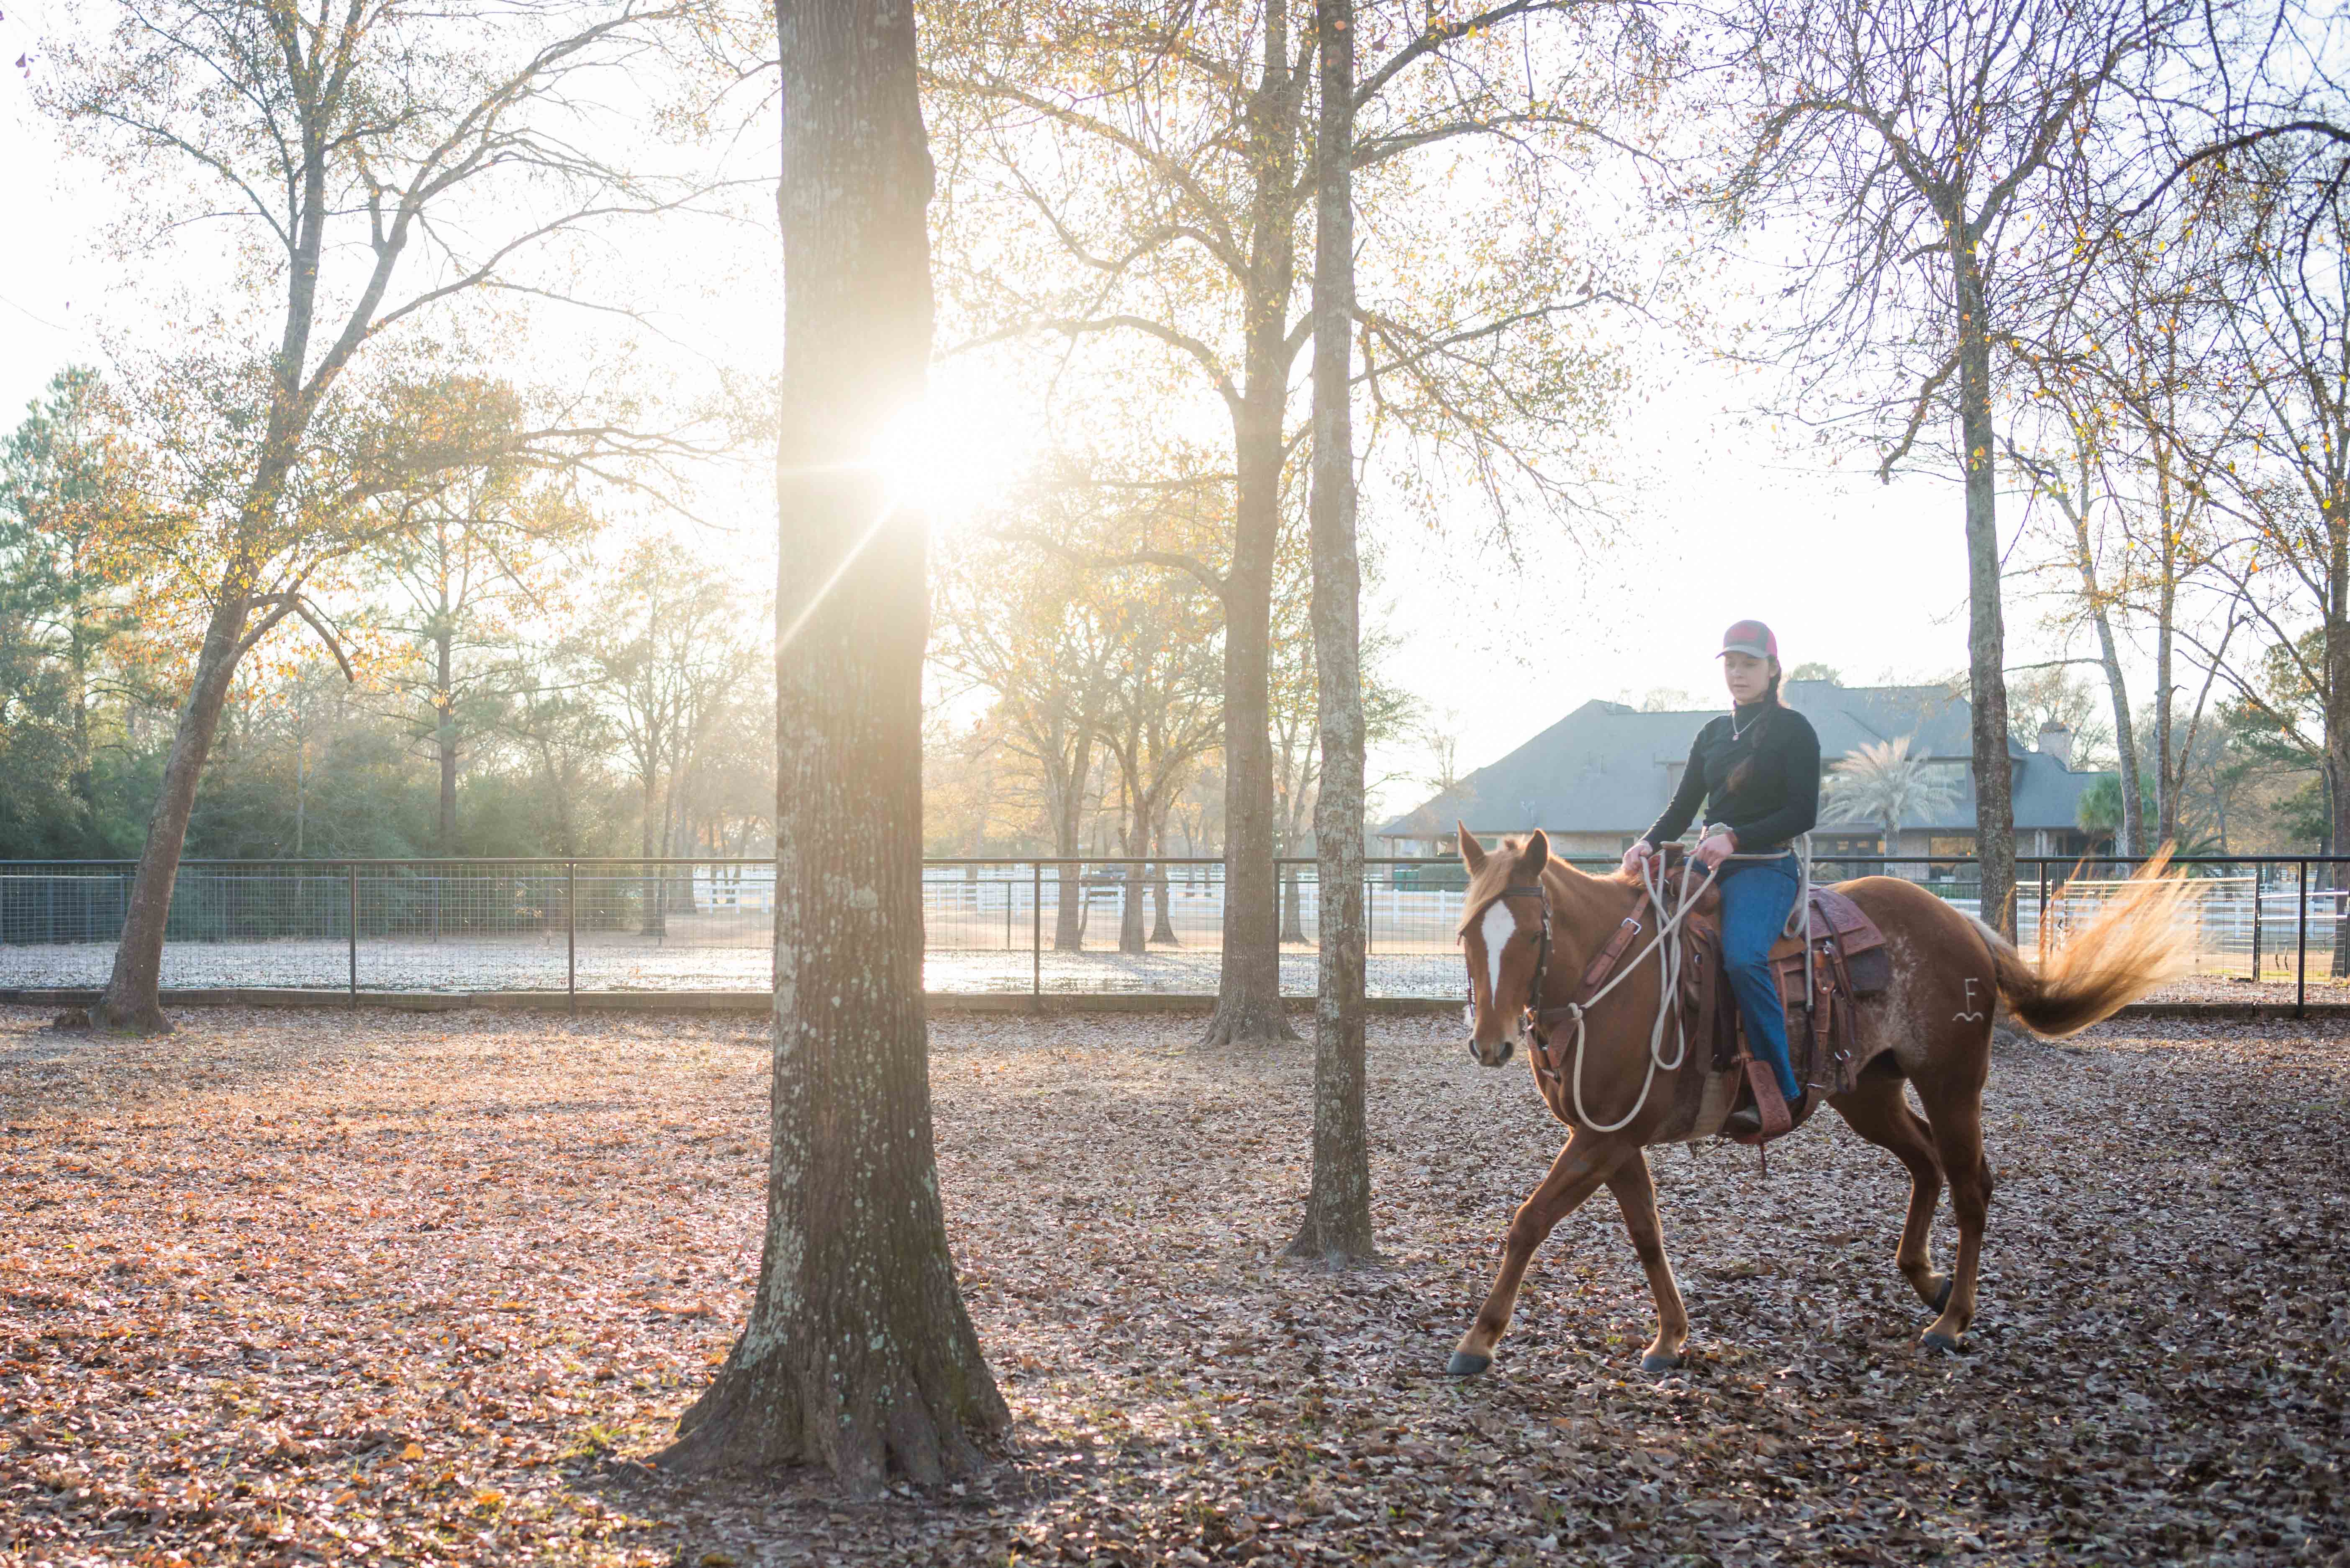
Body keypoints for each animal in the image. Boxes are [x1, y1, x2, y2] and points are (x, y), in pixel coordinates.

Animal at [1438, 827, 2190, 1382]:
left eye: (1531, 934)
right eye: (1468, 934)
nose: (1489, 1044)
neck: (1612, 974)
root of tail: (1963, 923)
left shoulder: (1601, 1140)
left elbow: (1529, 1222)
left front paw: (1479, 1341)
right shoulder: (1612, 1139)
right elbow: (1647, 1235)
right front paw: (1671, 1337)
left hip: (1951, 1083)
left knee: (1971, 1185)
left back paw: (1951, 1321)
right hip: (1870, 1093)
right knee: (1927, 1165)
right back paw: (1927, 1279)